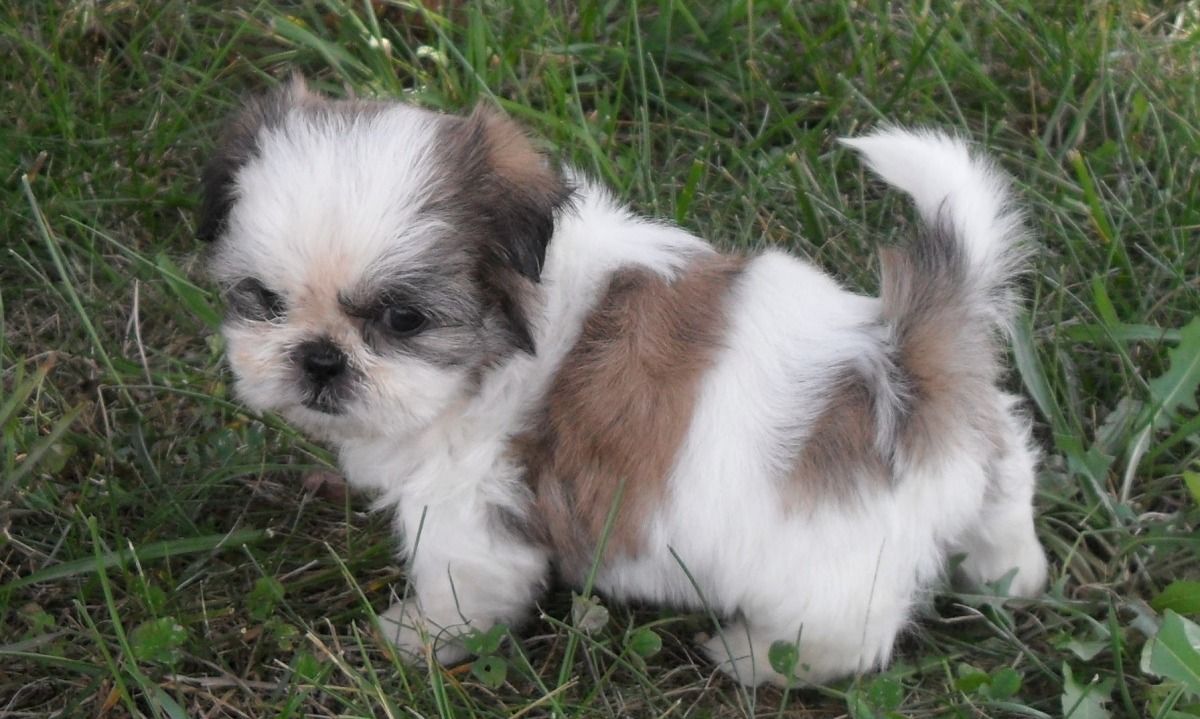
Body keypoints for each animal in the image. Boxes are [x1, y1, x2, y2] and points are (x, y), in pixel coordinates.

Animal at [196, 77, 1041, 686]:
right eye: (262, 299)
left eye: (403, 318)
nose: (319, 357)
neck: (513, 327)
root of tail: (908, 364)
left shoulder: (472, 501)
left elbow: (466, 582)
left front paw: (420, 636)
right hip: (990, 455)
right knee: (1011, 482)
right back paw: (1010, 571)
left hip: (823, 565)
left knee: (847, 635)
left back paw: (752, 657)